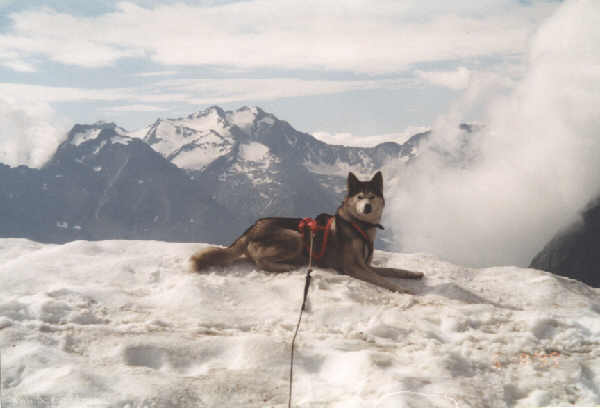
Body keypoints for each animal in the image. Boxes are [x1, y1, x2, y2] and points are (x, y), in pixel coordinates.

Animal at [190, 171, 424, 292]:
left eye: (371, 197)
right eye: (359, 197)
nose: (366, 207)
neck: (361, 226)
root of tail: (251, 228)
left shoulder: (366, 264)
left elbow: (393, 270)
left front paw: (413, 274)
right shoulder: (352, 267)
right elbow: (381, 279)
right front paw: (403, 289)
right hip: (295, 237)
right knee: (259, 260)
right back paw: (287, 266)